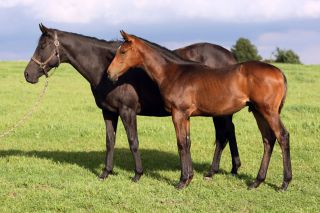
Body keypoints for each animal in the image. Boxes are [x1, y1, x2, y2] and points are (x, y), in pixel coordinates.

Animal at [24, 24, 240, 181]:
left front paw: (137, 174)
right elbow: (110, 141)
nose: (27, 74)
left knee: (223, 136)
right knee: (229, 133)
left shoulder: (127, 111)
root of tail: (231, 57)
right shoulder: (108, 112)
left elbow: (133, 142)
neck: (104, 69)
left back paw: (212, 171)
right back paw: (232, 168)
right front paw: (106, 172)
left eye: (42, 46)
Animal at [107, 30, 292, 191]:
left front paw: (182, 181)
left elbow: (181, 143)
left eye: (123, 51)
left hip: (268, 111)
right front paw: (189, 177)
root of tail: (279, 72)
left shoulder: (178, 113)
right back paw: (257, 181)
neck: (173, 73)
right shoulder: (186, 115)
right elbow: (188, 142)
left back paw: (284, 183)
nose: (109, 74)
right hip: (257, 111)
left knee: (282, 136)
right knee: (268, 140)